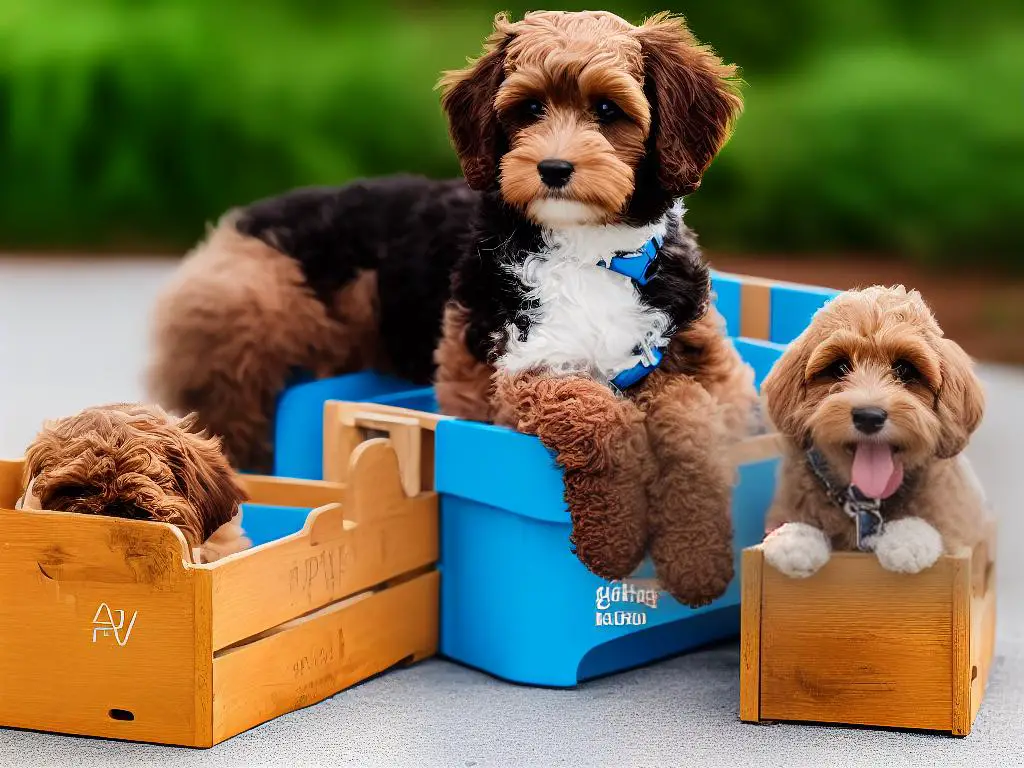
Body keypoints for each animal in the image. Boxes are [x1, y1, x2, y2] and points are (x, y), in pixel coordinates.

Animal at [761, 286, 991, 577]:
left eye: (905, 369)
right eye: (839, 368)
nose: (868, 417)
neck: (866, 503)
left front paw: (907, 541)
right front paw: (794, 541)